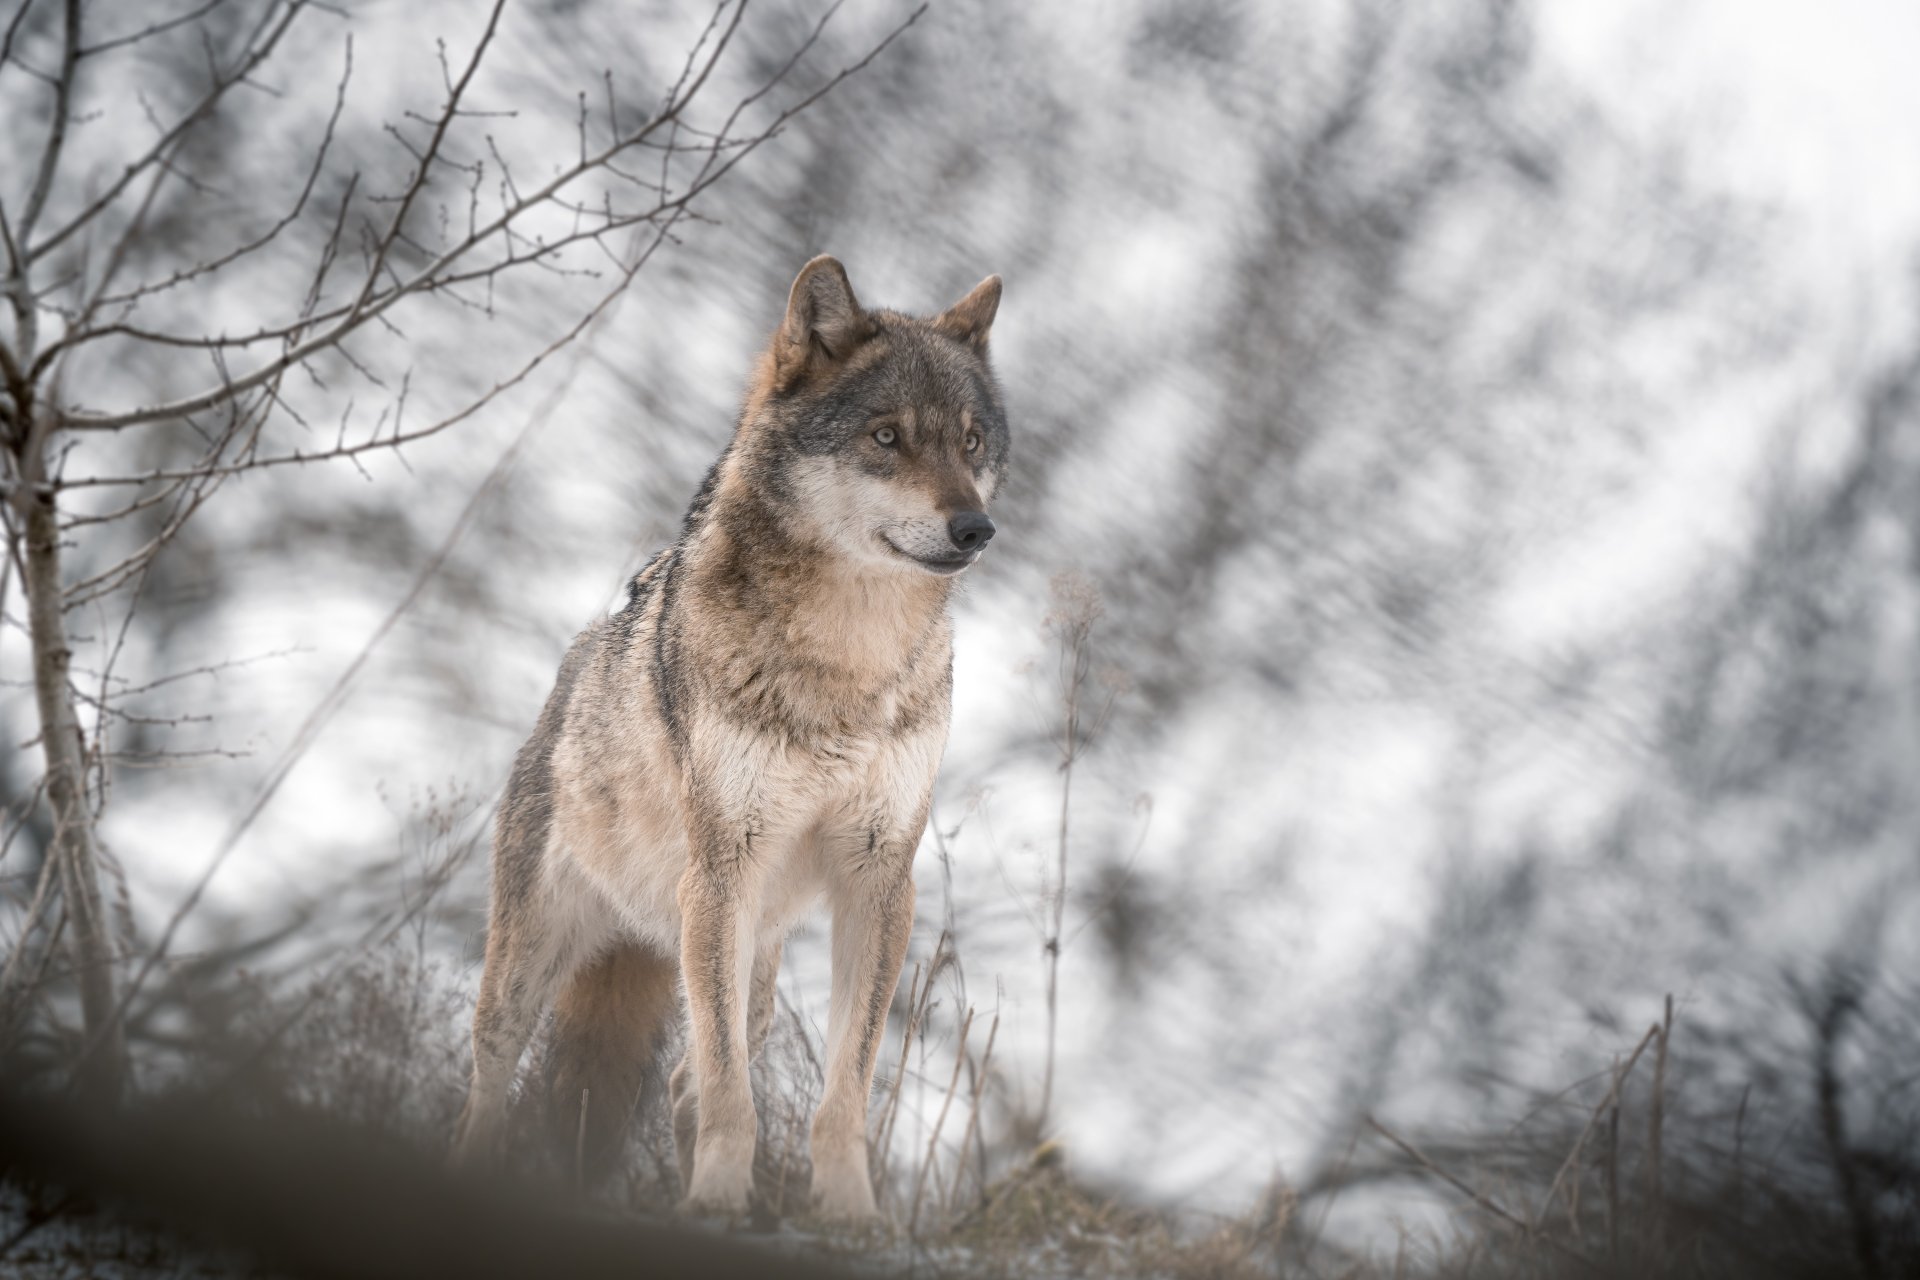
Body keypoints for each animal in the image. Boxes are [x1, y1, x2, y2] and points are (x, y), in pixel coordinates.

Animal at [449, 256, 1007, 1222]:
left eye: (972, 443)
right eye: (887, 437)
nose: (975, 528)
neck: (846, 664)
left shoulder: (879, 879)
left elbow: (844, 1088)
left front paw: (849, 1213)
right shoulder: (722, 870)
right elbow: (729, 1091)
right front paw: (716, 1195)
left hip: (754, 966)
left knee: (683, 1080)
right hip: (540, 962)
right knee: (487, 1084)